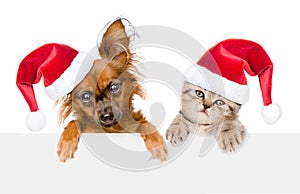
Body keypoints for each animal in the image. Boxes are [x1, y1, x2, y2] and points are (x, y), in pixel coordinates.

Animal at [56, 19, 169, 162]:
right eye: (86, 97)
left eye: (114, 87)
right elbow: (73, 122)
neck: (113, 130)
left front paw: (157, 143)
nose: (107, 116)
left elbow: (145, 124)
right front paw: (66, 143)